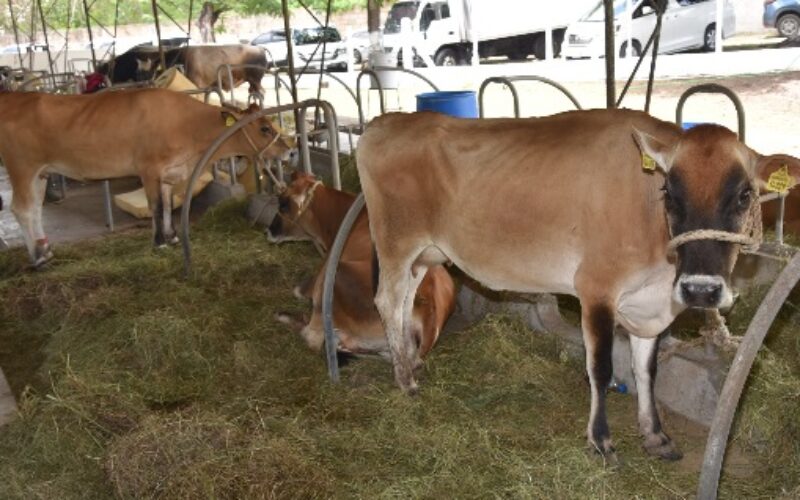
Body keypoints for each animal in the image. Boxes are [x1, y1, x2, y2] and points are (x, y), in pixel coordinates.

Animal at [0, 87, 294, 267]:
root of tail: (13, 97)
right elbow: (157, 206)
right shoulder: (149, 168)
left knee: (35, 210)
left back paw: (45, 249)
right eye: (265, 128)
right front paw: (159, 243)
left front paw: (172, 237)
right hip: (22, 167)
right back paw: (38, 258)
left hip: (41, 172)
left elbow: (167, 206)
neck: (188, 126)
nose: (290, 150)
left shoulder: (167, 174)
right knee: (22, 209)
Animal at [99, 45, 268, 94]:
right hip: (252, 83)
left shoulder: (198, 85)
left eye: (150, 74)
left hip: (256, 81)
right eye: (138, 75)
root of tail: (260, 48)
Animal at [267, 172, 456, 359]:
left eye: (283, 205)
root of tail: (430, 309)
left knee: (312, 337)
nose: (269, 231)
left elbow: (298, 291)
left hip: (334, 277)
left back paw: (284, 316)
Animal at [355, 108, 800, 462]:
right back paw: (405, 381)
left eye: (745, 195)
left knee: (407, 301)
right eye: (669, 192)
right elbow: (600, 368)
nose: (701, 291)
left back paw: (412, 362)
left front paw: (655, 435)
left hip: (424, 253)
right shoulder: (596, 288)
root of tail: (387, 120)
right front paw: (600, 441)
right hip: (396, 241)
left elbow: (646, 370)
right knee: (387, 301)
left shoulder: (651, 304)